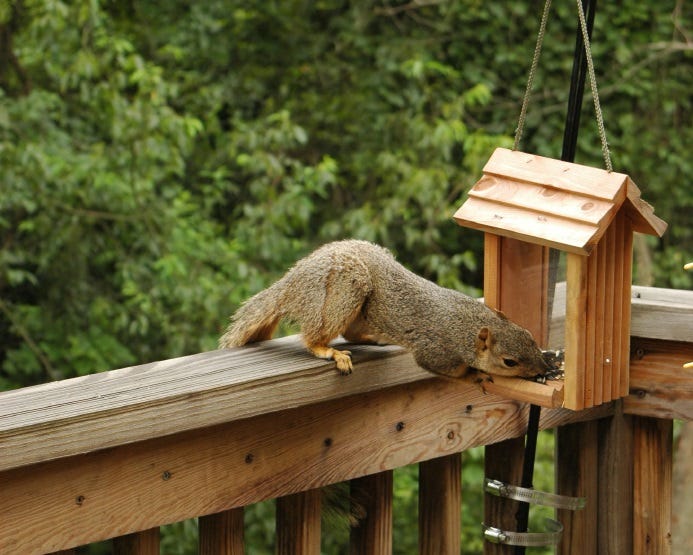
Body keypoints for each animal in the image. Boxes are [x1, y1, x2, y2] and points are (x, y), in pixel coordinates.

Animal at [219, 241, 548, 380]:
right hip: (344, 287)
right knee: (314, 336)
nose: (544, 369)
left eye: (530, 336)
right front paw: (474, 376)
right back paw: (328, 351)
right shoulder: (435, 351)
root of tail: (292, 284)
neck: (467, 321)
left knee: (351, 332)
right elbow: (450, 369)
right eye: (509, 362)